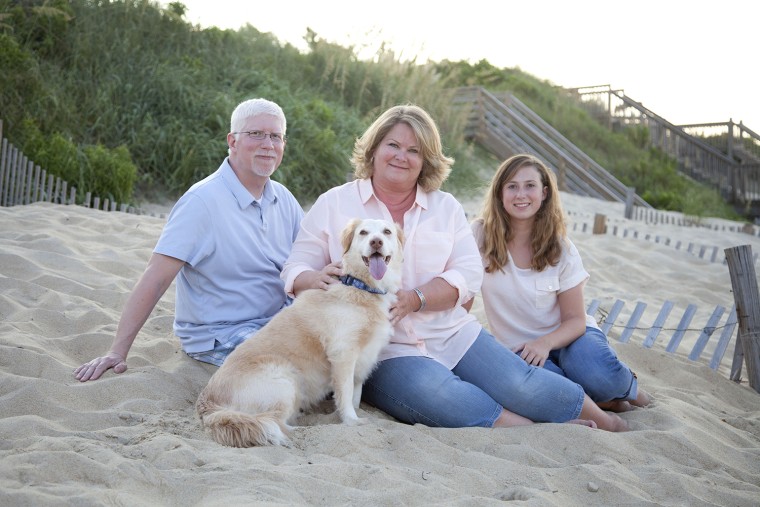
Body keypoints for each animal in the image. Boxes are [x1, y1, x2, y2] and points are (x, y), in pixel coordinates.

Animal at [199, 218, 406, 448]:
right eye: (363, 233)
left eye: (386, 232)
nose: (376, 242)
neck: (360, 286)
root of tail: (209, 405)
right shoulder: (343, 354)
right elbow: (345, 394)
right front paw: (351, 420)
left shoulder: (364, 357)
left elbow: (356, 394)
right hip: (285, 381)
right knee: (272, 422)